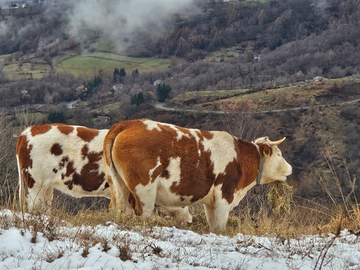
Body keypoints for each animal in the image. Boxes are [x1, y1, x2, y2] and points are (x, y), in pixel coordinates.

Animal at [103, 119, 292, 232]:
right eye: (279, 154)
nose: (290, 169)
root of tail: (129, 124)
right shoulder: (225, 195)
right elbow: (221, 224)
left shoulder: (211, 202)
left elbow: (214, 225)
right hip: (144, 190)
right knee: (143, 213)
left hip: (118, 185)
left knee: (118, 208)